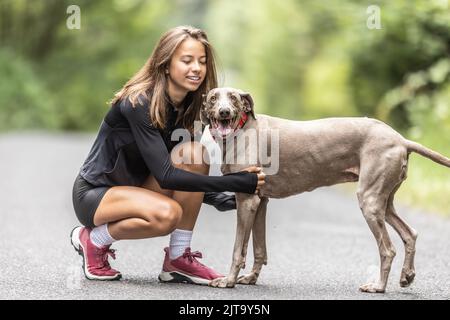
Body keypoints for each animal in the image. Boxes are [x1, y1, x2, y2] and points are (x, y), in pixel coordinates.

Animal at [200, 85, 450, 292]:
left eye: (233, 97)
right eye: (213, 98)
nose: (224, 112)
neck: (241, 131)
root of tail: (401, 139)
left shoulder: (247, 200)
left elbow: (237, 249)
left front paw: (228, 281)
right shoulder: (260, 201)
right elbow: (258, 248)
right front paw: (251, 278)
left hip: (369, 200)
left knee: (388, 249)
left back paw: (378, 286)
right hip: (384, 201)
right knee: (410, 233)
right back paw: (407, 276)